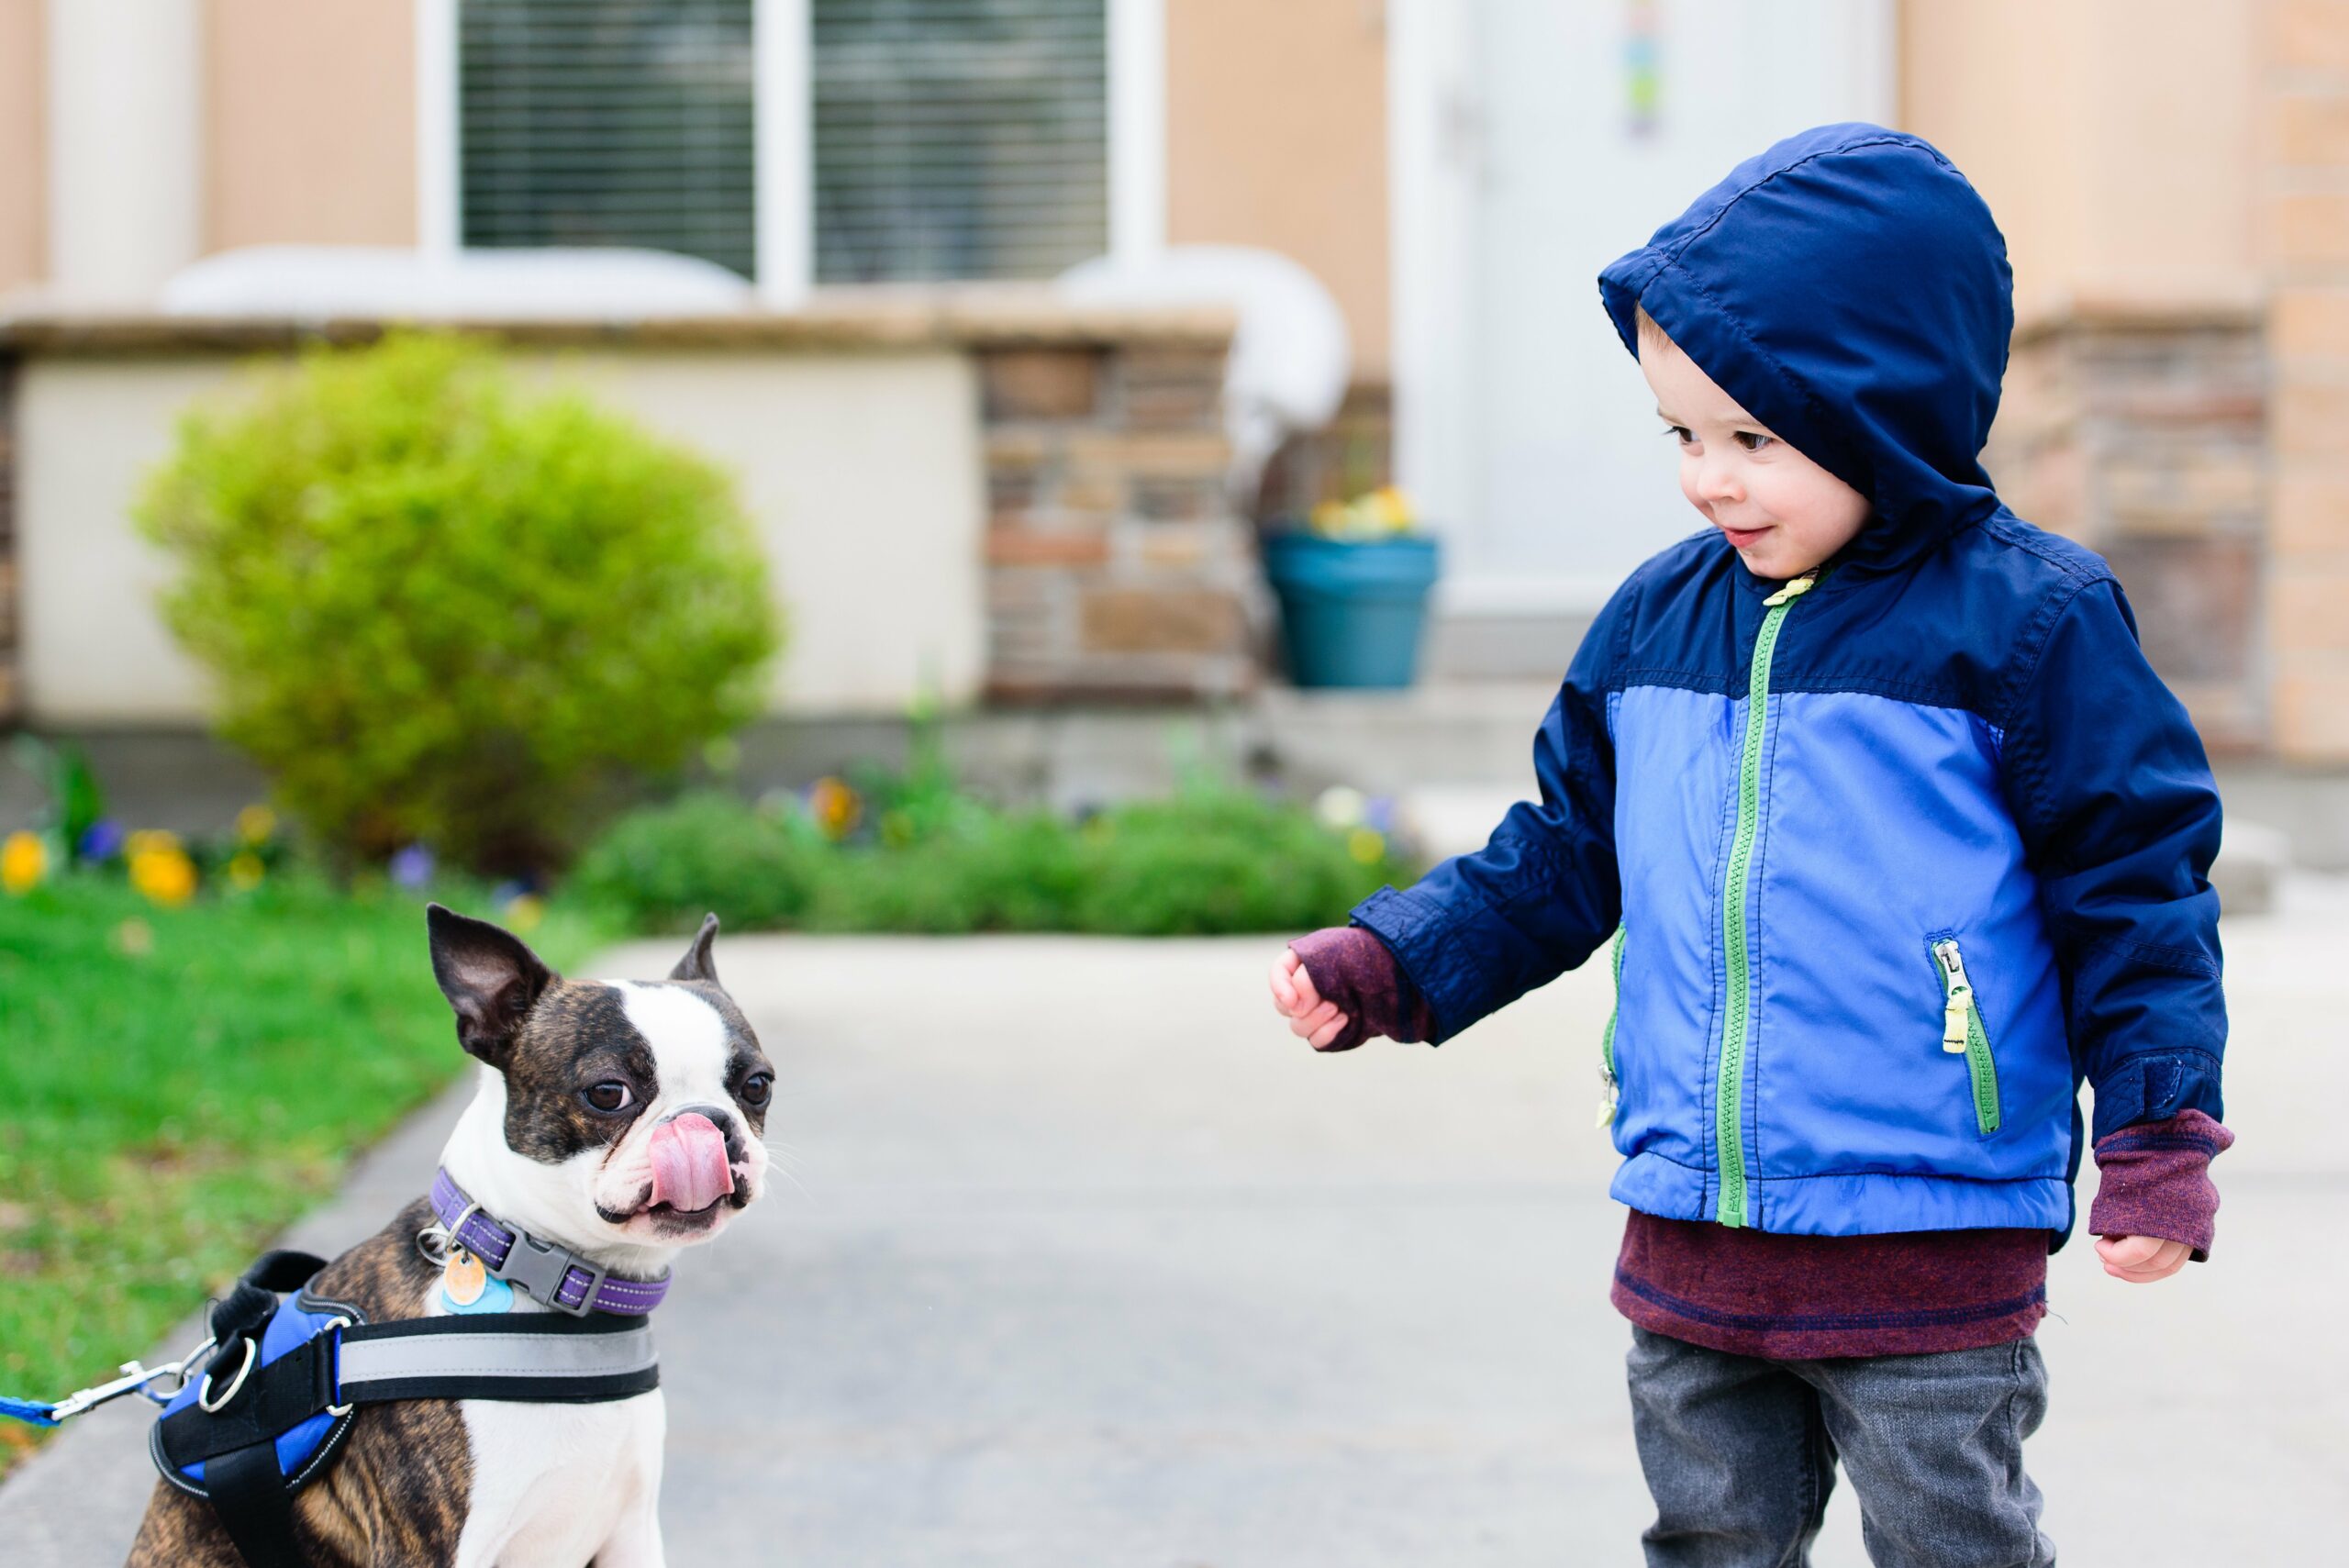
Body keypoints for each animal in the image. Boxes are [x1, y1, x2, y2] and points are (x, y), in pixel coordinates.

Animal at [126, 892, 770, 1568]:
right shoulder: (433, 1549)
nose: (707, 1122)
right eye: (607, 1093)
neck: (548, 1289)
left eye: (758, 1086)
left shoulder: (632, 1532)